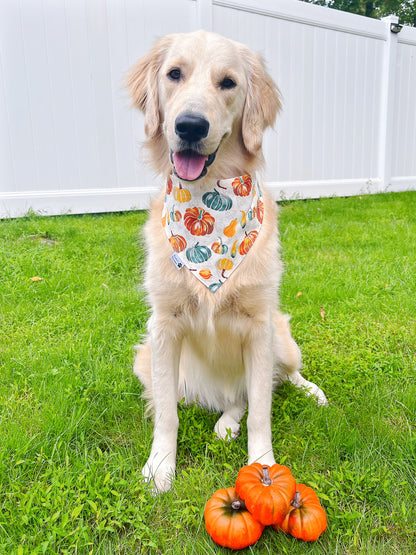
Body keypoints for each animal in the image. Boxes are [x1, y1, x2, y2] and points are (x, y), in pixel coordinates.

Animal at [128, 30, 326, 494]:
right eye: (174, 74)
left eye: (229, 83)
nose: (189, 126)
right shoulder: (162, 327)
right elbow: (167, 415)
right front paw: (160, 466)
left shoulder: (259, 327)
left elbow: (262, 412)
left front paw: (264, 468)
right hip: (145, 359)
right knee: (232, 399)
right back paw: (225, 421)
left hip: (281, 335)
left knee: (276, 381)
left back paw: (308, 392)